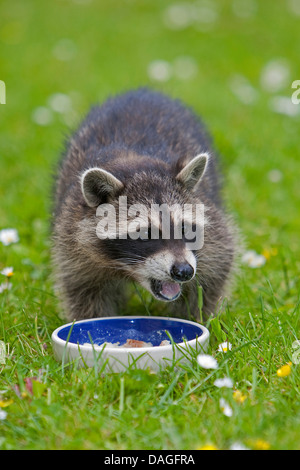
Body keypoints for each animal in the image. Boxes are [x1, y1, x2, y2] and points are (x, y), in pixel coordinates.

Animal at [52, 88, 237, 322]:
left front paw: (197, 319)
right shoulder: (73, 238)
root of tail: (143, 91)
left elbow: (214, 273)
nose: (184, 271)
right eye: (145, 233)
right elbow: (83, 289)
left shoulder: (212, 232)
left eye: (184, 228)